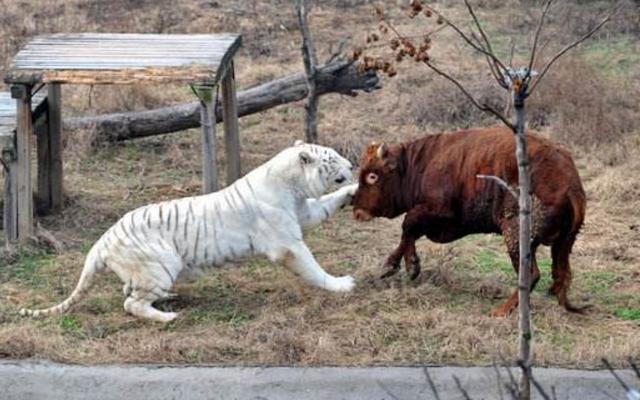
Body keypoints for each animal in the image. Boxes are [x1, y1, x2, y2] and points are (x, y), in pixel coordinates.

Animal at [20, 141, 358, 322]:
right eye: (332, 157)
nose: (353, 164)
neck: (293, 186)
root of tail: (102, 241)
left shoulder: (304, 213)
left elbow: (327, 204)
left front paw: (355, 190)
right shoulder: (287, 243)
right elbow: (312, 267)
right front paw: (342, 285)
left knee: (129, 291)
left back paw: (168, 297)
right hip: (161, 263)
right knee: (131, 303)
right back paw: (167, 317)